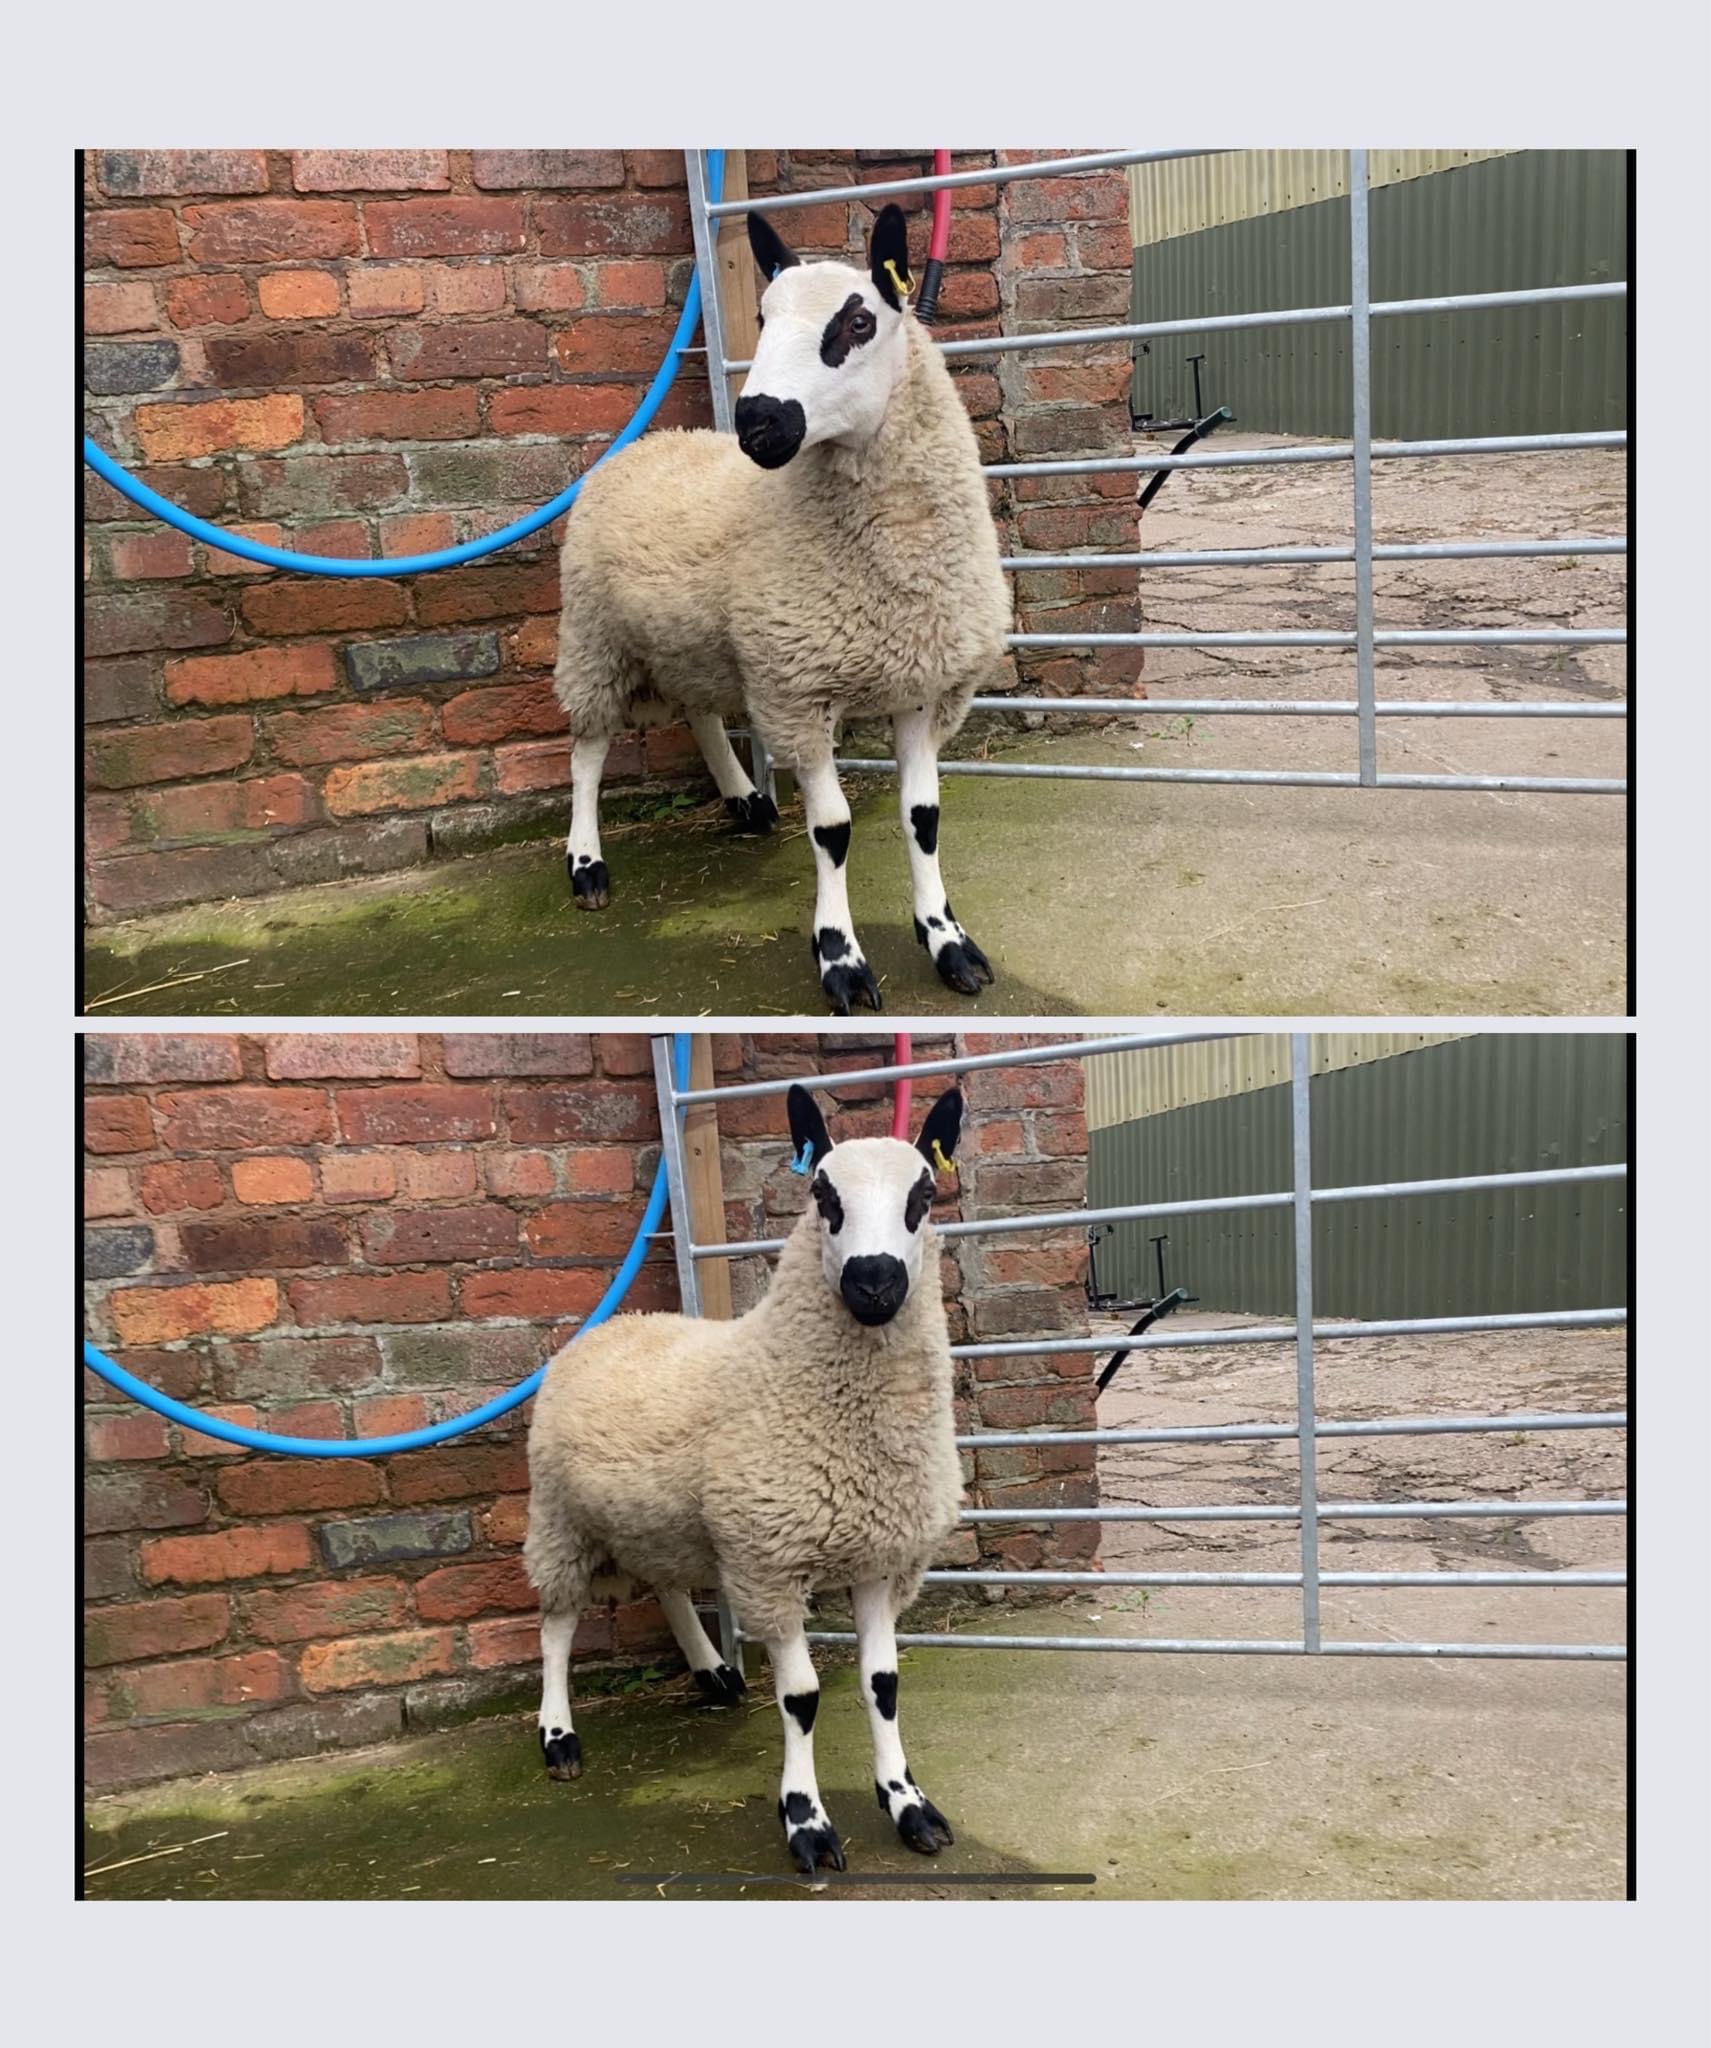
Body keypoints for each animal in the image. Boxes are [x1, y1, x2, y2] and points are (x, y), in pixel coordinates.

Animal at [523, 1082, 966, 1873]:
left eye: (924, 1194)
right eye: (822, 1194)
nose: (874, 1282)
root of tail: (614, 1324)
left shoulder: (881, 1557)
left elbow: (882, 1686)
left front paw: (908, 1804)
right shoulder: (769, 1562)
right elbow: (802, 1699)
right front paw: (806, 1822)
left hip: (653, 1518)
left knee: (665, 1583)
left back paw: (712, 1672)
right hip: (559, 1518)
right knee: (556, 1624)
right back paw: (559, 1737)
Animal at [552, 201, 1012, 1016]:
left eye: (858, 322)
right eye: (762, 317)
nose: (759, 424)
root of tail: (646, 444)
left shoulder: (923, 688)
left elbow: (923, 820)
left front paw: (948, 942)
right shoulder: (799, 690)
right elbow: (832, 830)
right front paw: (841, 961)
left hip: (691, 641)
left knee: (697, 709)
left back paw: (745, 800)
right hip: (594, 637)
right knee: (587, 749)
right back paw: (587, 866)